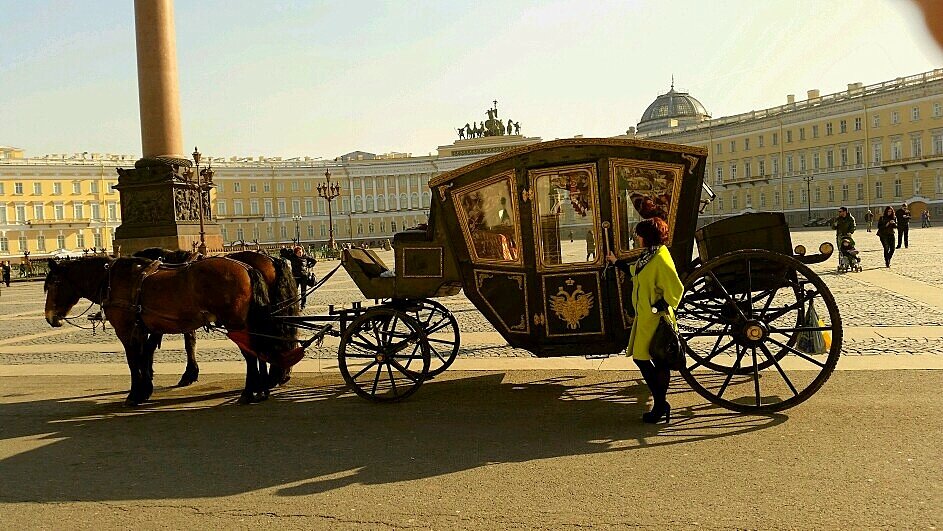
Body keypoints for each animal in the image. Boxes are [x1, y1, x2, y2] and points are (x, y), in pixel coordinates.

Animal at [43, 256, 292, 406]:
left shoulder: (126, 330)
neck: (113, 280)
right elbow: (145, 357)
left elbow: (134, 361)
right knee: (259, 350)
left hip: (235, 323)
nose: (50, 318)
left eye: (53, 284)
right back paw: (262, 388)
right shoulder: (143, 329)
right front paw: (145, 390)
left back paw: (249, 392)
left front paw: (134, 395)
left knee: (250, 354)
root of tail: (246, 267)